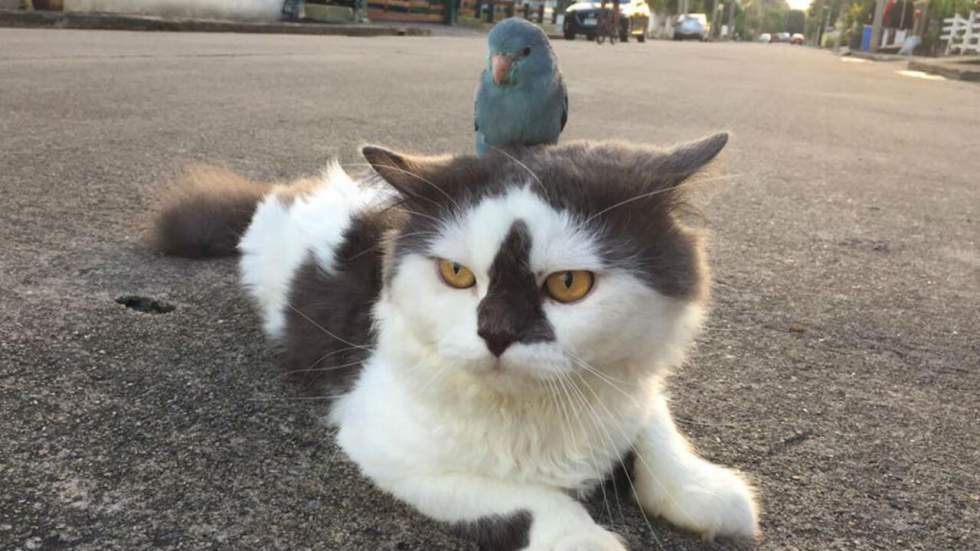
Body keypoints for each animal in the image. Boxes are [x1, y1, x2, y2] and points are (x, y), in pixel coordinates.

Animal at [151, 135, 756, 551]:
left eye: (569, 284)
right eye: (458, 275)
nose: (496, 333)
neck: (540, 412)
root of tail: (292, 189)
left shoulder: (634, 382)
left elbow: (656, 429)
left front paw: (704, 489)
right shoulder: (392, 453)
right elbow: (536, 503)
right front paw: (585, 541)